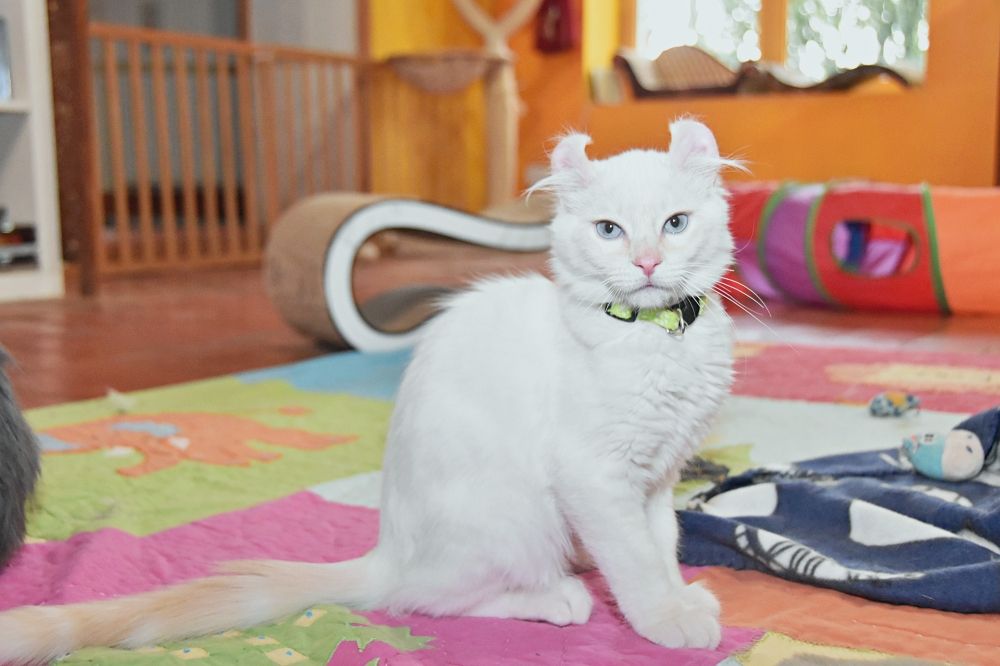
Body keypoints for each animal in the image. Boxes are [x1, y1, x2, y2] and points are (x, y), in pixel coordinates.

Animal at [0, 118, 737, 662]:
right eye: (609, 231)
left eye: (674, 223)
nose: (647, 262)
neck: (658, 339)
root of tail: (385, 551)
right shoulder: (595, 477)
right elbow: (634, 561)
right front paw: (663, 619)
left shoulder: (656, 474)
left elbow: (662, 543)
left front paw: (681, 598)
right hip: (516, 523)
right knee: (422, 599)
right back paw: (555, 597)